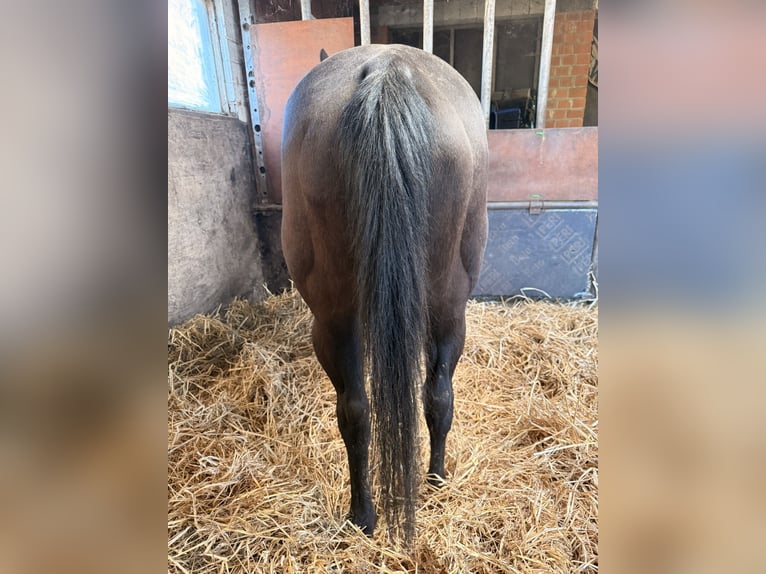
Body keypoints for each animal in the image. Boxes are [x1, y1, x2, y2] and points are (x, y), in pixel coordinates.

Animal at [281, 44, 488, 545]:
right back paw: (428, 481)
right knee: (434, 396)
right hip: (446, 310)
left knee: (361, 408)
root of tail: (385, 70)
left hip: (337, 321)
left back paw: (367, 512)